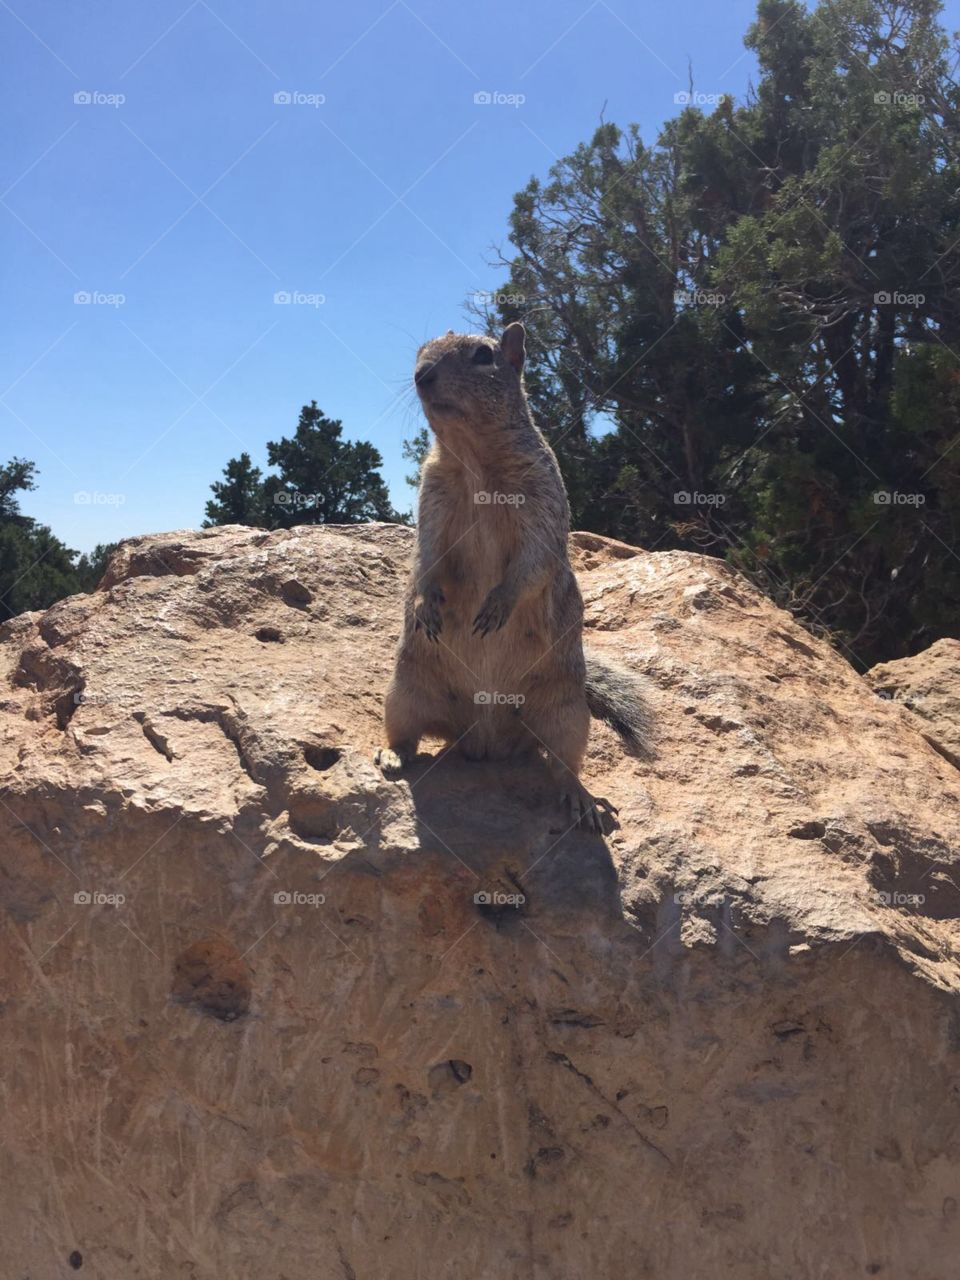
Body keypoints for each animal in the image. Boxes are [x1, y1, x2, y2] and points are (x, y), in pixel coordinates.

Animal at [376, 322, 655, 829]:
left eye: (484, 356)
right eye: (421, 351)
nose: (422, 374)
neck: (474, 460)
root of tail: (487, 744)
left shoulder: (543, 503)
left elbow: (533, 562)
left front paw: (497, 606)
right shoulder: (432, 500)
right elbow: (425, 556)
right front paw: (425, 603)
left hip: (567, 716)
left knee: (563, 764)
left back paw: (582, 799)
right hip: (404, 693)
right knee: (407, 735)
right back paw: (391, 756)